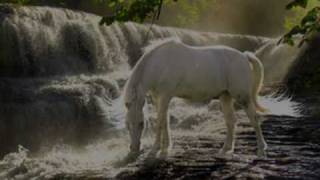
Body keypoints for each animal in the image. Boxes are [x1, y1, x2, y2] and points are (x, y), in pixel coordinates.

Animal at [124, 38, 268, 159]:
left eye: (141, 123)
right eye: (127, 125)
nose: (134, 149)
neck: (160, 64)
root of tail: (244, 56)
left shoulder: (165, 96)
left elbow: (159, 122)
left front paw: (155, 150)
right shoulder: (158, 99)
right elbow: (165, 122)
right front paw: (165, 149)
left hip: (243, 97)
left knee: (254, 119)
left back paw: (261, 150)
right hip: (225, 96)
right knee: (231, 121)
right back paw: (225, 150)